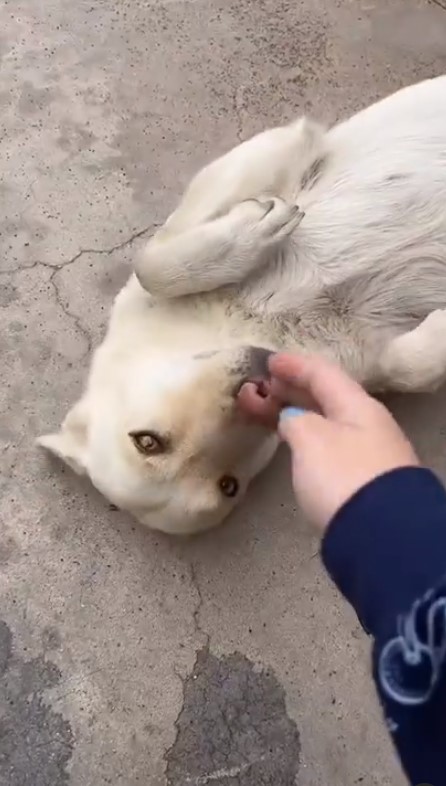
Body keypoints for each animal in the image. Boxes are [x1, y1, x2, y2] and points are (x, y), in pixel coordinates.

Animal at [39, 76, 446, 532]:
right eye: (227, 486)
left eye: (147, 441)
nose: (251, 385)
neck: (253, 328)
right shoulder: (355, 361)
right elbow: (406, 368)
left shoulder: (274, 151)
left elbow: (151, 264)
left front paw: (257, 226)